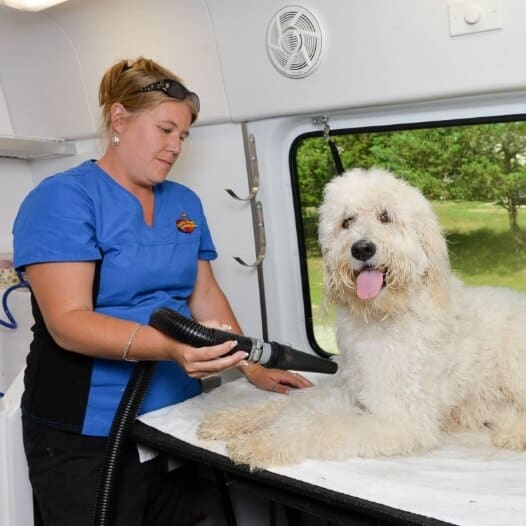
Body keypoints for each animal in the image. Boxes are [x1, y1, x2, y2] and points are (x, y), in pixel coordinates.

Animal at [198, 168, 526, 470]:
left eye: (386, 216)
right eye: (347, 221)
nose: (362, 248)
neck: (383, 315)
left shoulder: (399, 418)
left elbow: (318, 425)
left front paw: (263, 442)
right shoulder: (350, 389)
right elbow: (295, 404)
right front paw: (234, 419)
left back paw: (511, 433)